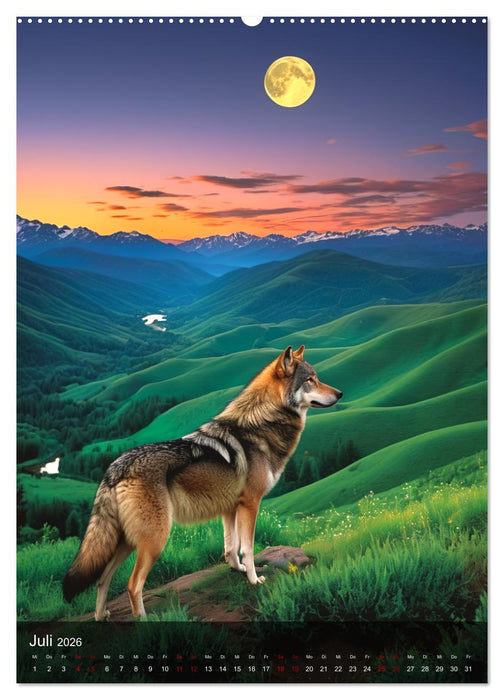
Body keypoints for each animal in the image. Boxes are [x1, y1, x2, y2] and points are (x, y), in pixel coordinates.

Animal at [63, 346, 342, 620]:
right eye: (310, 379)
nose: (339, 393)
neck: (261, 424)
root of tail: (114, 468)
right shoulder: (250, 504)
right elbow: (248, 548)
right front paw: (254, 580)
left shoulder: (230, 508)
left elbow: (231, 547)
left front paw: (238, 569)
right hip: (154, 540)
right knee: (132, 584)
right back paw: (144, 620)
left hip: (127, 541)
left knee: (102, 579)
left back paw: (101, 616)